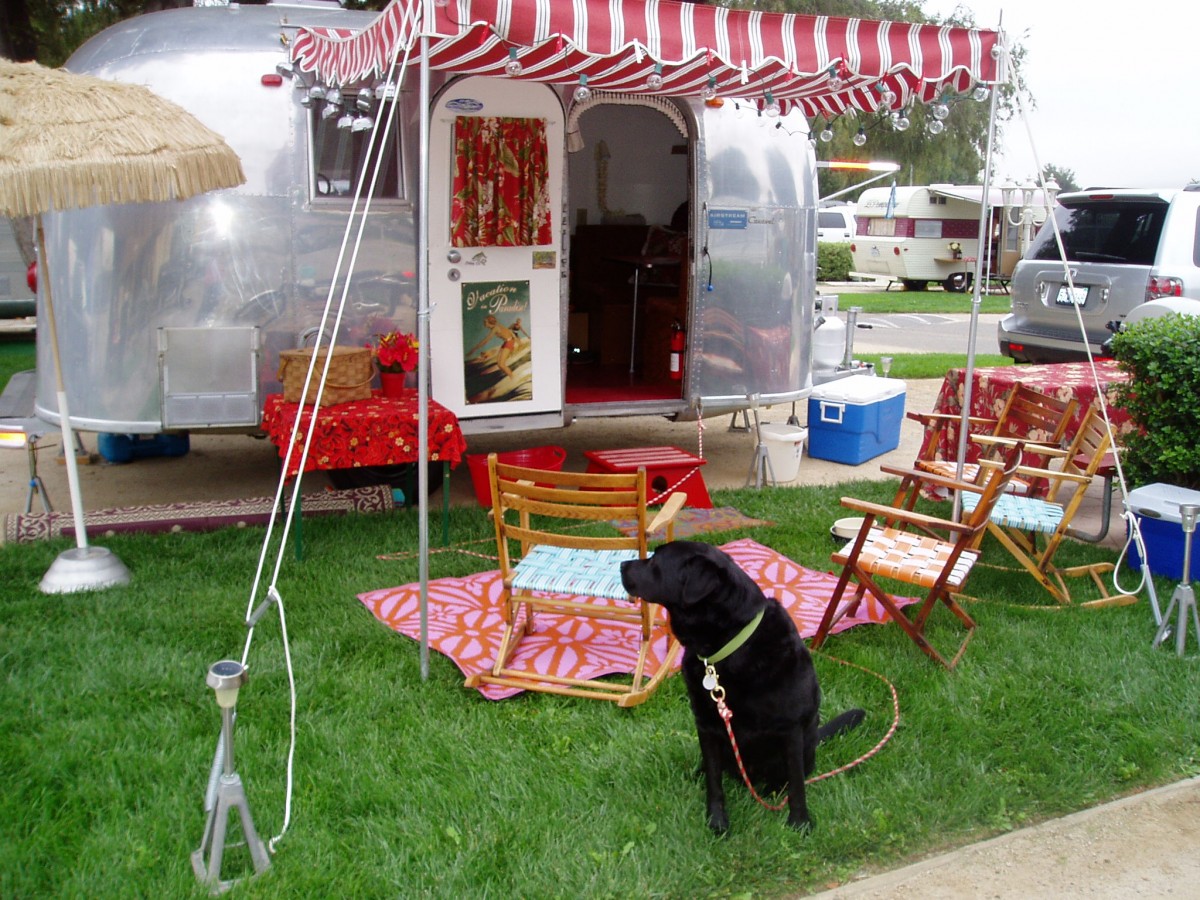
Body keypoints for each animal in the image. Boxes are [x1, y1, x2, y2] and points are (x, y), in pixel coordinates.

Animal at [619, 540, 864, 835]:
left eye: (656, 561)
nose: (622, 564)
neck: (726, 648)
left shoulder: (790, 728)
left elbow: (796, 785)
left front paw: (800, 822)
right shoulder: (707, 725)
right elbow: (714, 782)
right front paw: (717, 821)